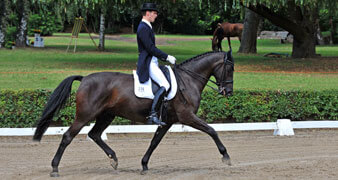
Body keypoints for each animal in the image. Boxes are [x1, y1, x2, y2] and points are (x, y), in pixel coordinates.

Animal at [33, 50, 235, 176]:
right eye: (230, 68)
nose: (228, 92)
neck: (188, 79)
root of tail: (84, 79)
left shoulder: (167, 121)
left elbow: (154, 142)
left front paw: (144, 165)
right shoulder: (187, 117)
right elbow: (212, 130)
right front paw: (226, 157)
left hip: (107, 115)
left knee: (95, 134)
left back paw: (114, 159)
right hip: (85, 116)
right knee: (68, 136)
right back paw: (55, 168)